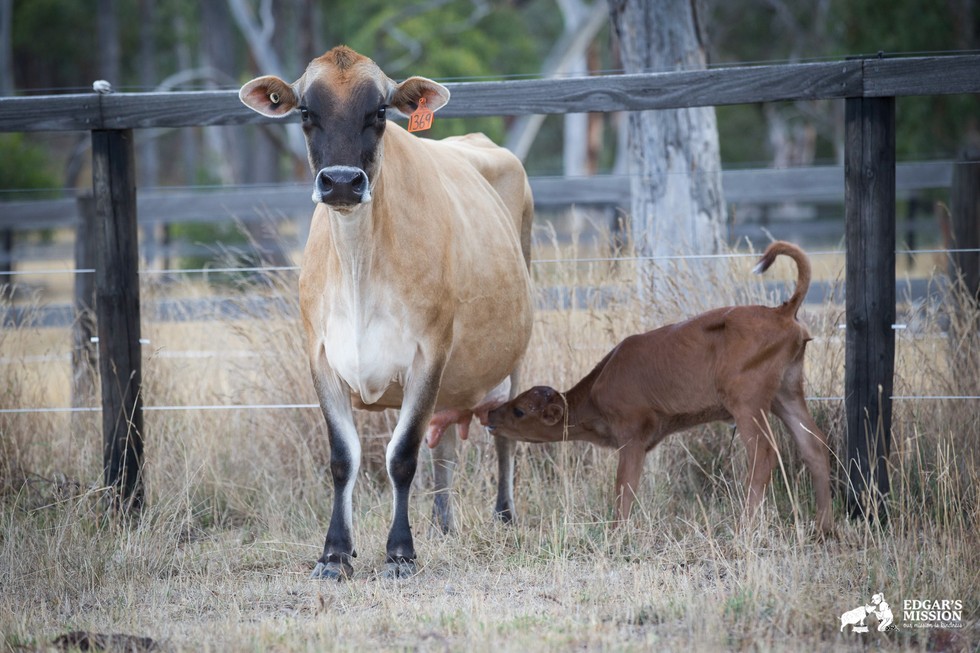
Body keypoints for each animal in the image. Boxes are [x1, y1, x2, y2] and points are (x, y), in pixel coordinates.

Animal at [239, 46, 533, 579]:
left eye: (379, 113)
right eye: (305, 112)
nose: (340, 182)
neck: (359, 269)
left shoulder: (429, 353)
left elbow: (401, 457)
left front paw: (400, 553)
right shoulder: (320, 356)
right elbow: (343, 457)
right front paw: (335, 554)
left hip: (514, 355)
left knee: (503, 437)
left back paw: (504, 518)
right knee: (446, 449)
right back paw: (443, 525)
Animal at [483, 241, 833, 534]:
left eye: (519, 410)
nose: (490, 416)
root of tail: (782, 310)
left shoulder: (632, 436)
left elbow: (624, 487)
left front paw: (617, 533)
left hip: (748, 401)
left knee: (762, 453)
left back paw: (745, 528)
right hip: (786, 393)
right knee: (814, 446)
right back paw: (823, 528)